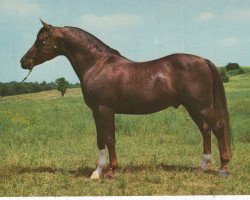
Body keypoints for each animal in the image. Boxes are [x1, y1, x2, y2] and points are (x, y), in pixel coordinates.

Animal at [20, 21, 232, 179]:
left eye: (41, 39)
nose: (24, 62)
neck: (97, 65)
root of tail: (203, 60)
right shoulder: (99, 111)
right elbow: (102, 139)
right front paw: (98, 172)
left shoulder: (104, 109)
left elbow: (108, 138)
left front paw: (110, 171)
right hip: (194, 107)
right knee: (205, 130)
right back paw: (203, 166)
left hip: (201, 107)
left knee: (217, 128)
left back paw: (223, 168)